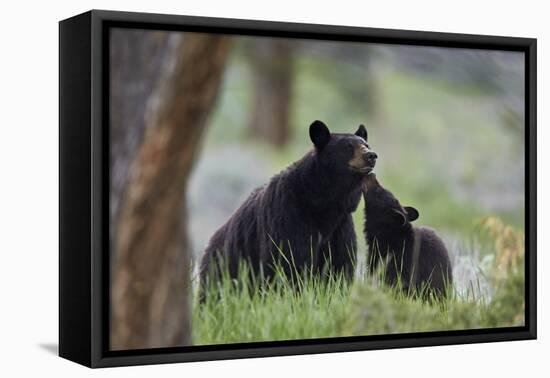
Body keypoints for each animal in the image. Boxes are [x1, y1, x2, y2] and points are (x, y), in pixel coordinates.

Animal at [199, 119, 380, 294]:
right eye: (348, 146)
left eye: (366, 144)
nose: (371, 155)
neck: (322, 202)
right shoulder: (289, 216)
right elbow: (290, 261)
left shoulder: (340, 226)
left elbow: (339, 266)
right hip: (223, 268)